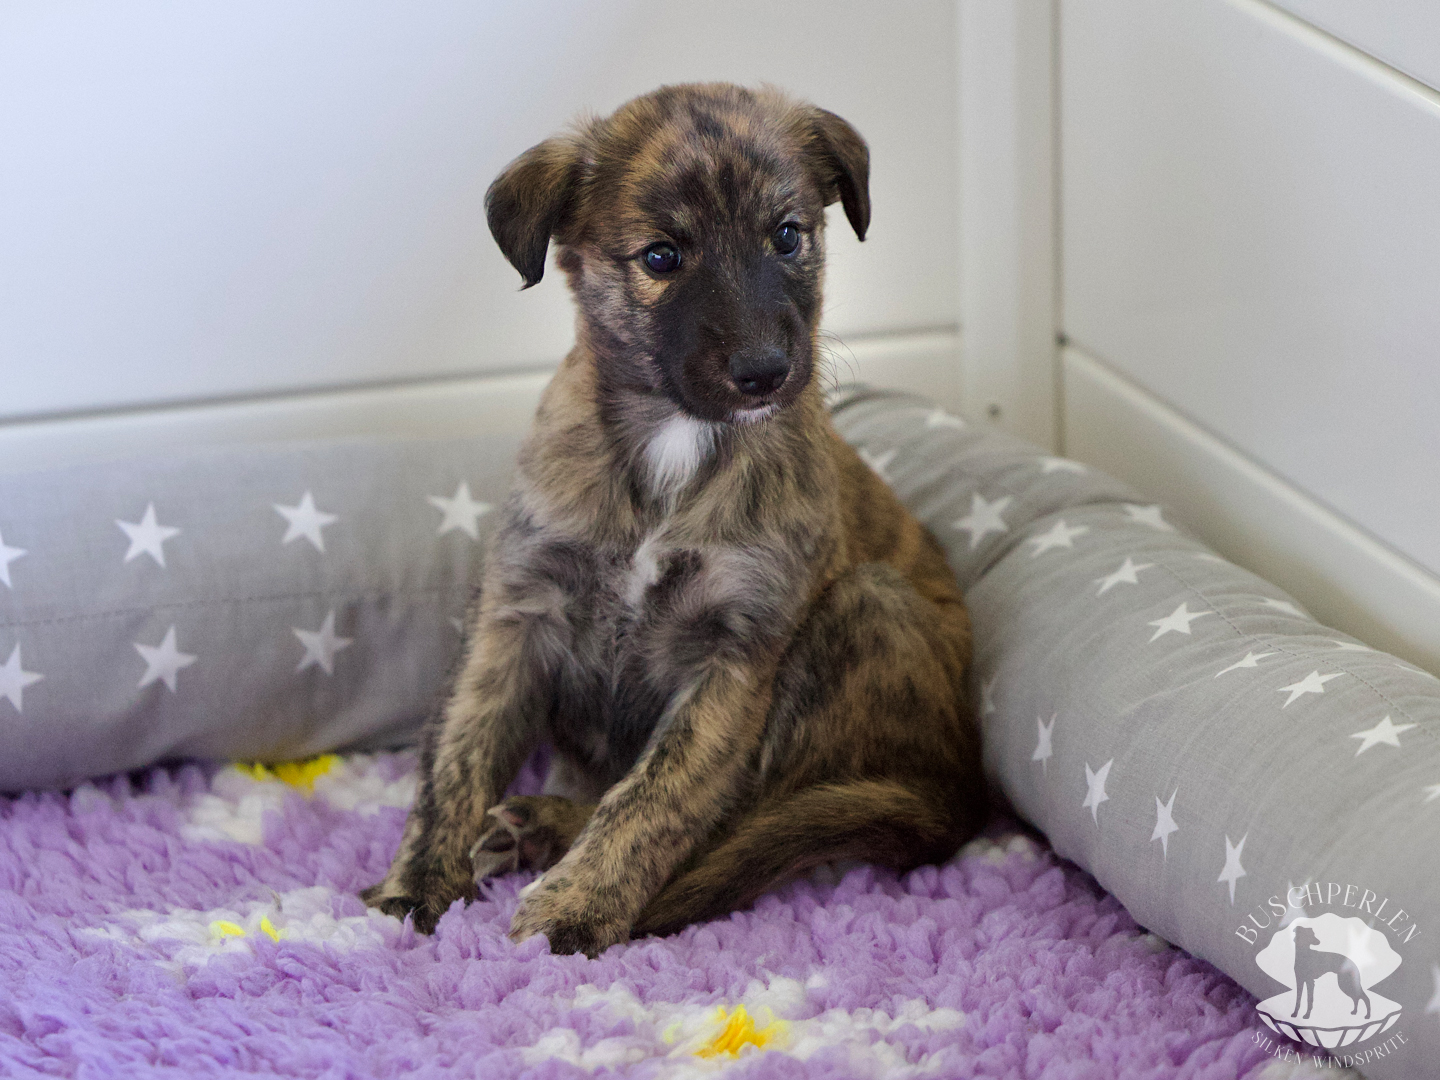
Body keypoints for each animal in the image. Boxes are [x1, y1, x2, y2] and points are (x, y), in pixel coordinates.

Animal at [361, 83, 984, 957]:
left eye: (787, 236)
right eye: (661, 257)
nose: (765, 373)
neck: (674, 444)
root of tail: (962, 790)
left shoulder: (735, 657)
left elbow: (658, 798)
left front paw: (578, 908)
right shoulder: (515, 617)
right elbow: (456, 758)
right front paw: (416, 886)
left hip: (866, 606)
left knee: (752, 821)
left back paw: (554, 832)